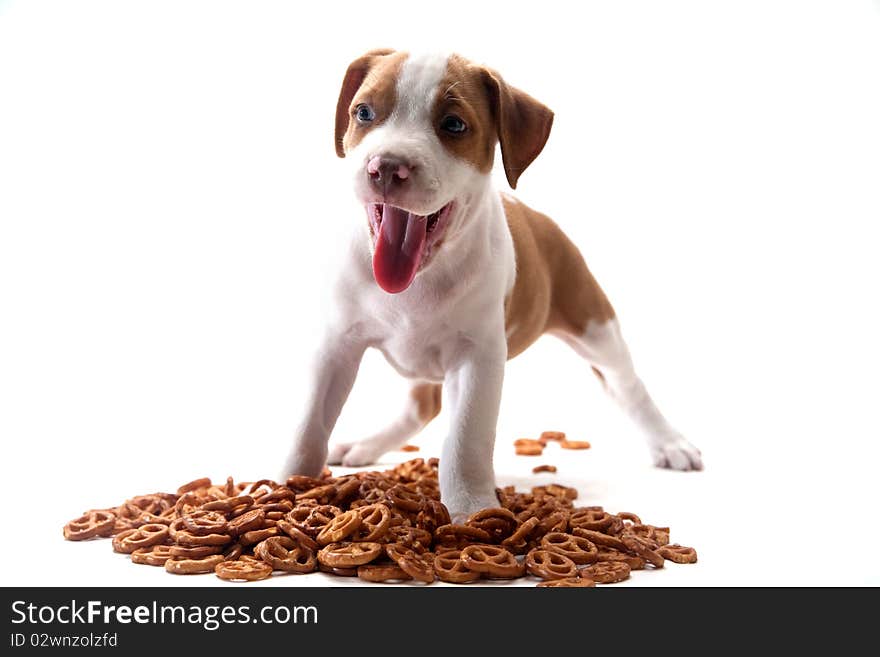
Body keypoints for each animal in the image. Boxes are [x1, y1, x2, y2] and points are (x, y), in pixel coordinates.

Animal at [282, 48, 700, 520]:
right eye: (364, 113)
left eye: (453, 125)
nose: (386, 167)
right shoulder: (336, 346)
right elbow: (308, 425)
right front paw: (282, 487)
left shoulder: (476, 358)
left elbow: (465, 440)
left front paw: (471, 508)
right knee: (421, 406)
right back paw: (365, 445)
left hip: (596, 325)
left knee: (628, 385)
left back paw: (671, 443)